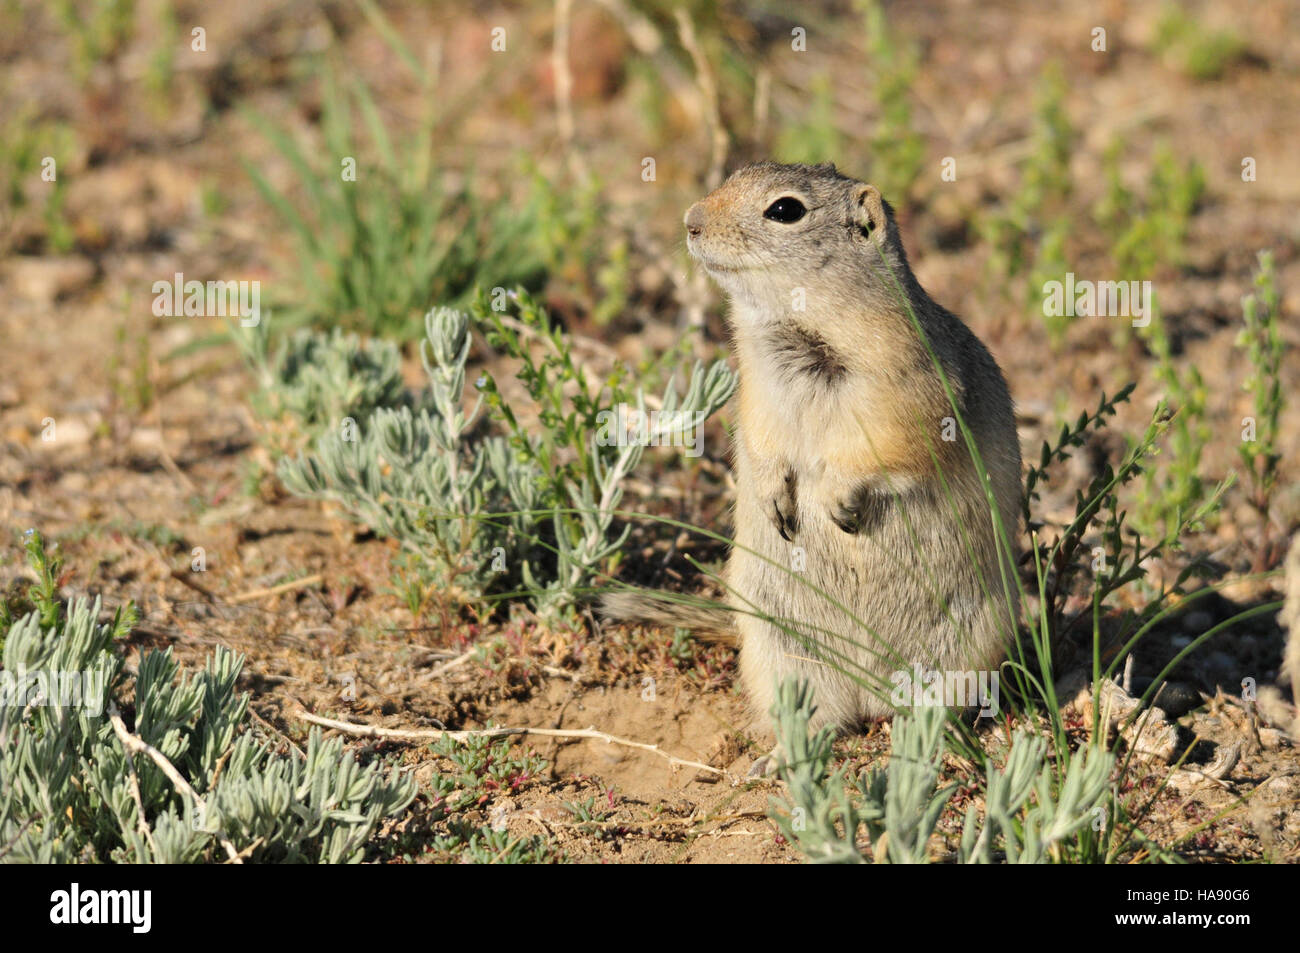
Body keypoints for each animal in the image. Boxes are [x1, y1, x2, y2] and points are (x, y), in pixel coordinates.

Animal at [604, 161, 1022, 733]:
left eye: (785, 210)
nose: (691, 221)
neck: (795, 326)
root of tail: (868, 692)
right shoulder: (758, 391)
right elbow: (760, 446)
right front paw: (774, 500)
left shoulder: (910, 387)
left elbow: (890, 449)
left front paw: (836, 500)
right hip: (778, 648)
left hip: (967, 646)